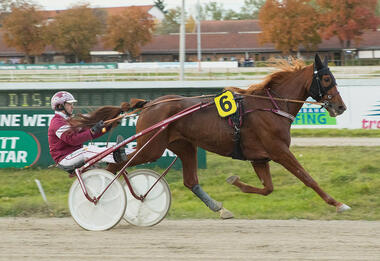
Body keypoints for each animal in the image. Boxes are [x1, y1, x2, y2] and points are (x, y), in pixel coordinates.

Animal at [70, 54, 350, 217]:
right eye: (326, 78)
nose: (340, 107)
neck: (271, 105)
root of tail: (150, 104)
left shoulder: (260, 158)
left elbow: (268, 188)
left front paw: (235, 181)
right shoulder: (279, 151)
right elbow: (308, 178)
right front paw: (338, 203)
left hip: (183, 146)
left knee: (190, 180)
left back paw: (218, 207)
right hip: (152, 148)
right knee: (114, 164)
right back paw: (99, 198)